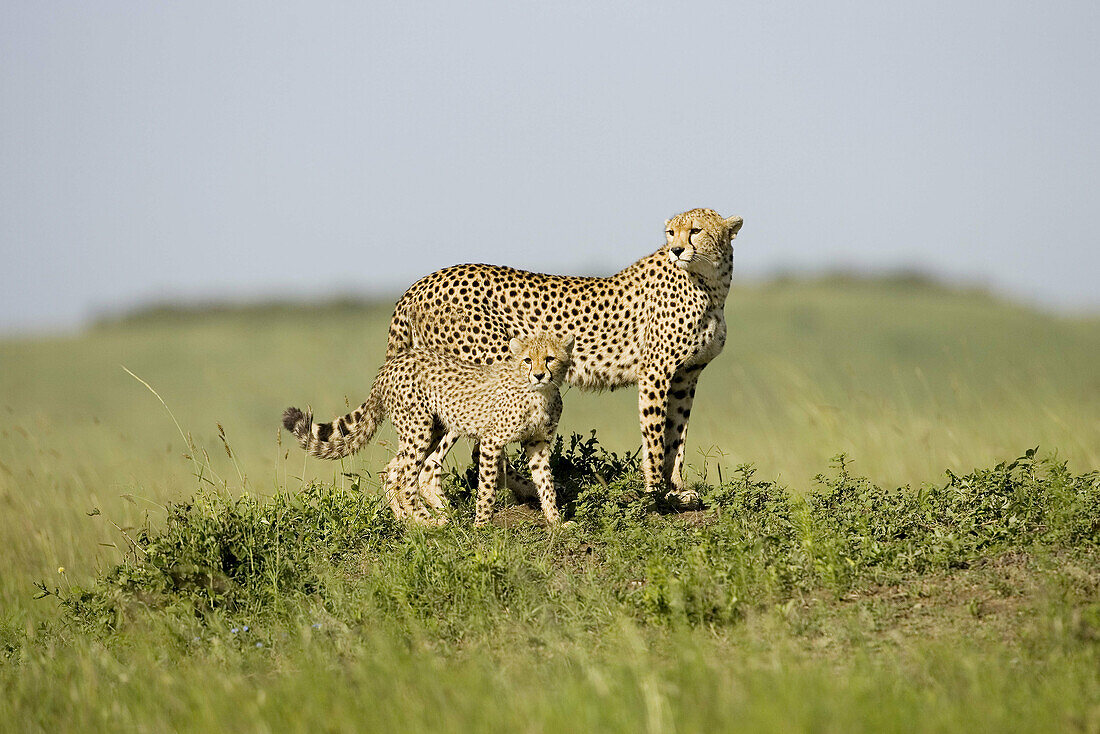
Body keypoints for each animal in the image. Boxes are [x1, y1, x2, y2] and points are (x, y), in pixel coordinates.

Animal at [283, 332, 572, 528]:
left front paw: (556, 522)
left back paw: (408, 520)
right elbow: (487, 487)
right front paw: (482, 525)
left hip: (431, 429)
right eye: (527, 360)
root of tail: (391, 364)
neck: (540, 394)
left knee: (392, 471)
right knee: (406, 479)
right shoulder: (492, 441)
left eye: (550, 359)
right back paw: (428, 521)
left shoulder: (537, 443)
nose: (539, 375)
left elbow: (545, 482)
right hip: (418, 429)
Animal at [385, 205, 739, 506]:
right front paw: (657, 493)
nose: (676, 250)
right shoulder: (656, 373)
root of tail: (420, 283)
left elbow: (676, 437)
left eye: (695, 230)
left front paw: (677, 487)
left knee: (404, 465)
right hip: (480, 375)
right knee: (435, 462)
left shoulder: (686, 376)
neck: (710, 284)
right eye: (670, 232)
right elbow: (655, 437)